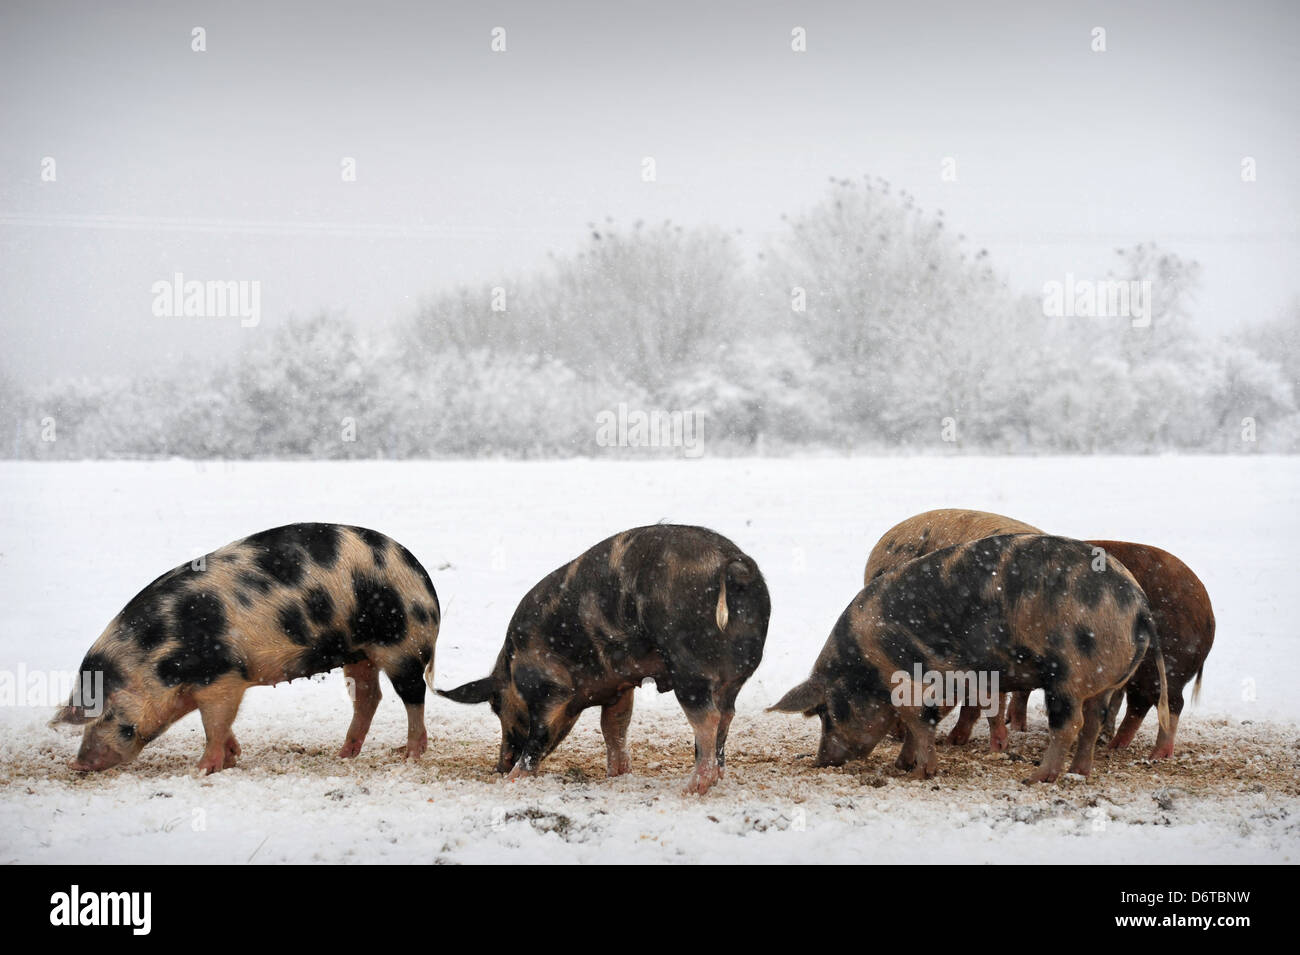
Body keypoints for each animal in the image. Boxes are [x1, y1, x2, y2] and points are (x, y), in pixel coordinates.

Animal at [53, 522, 441, 779]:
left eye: (111, 716)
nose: (79, 762)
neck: (157, 657)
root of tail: (422, 577)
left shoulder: (223, 677)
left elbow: (214, 723)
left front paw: (203, 770)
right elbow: (219, 725)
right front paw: (233, 755)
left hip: (401, 645)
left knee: (413, 695)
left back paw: (410, 755)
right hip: (358, 653)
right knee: (369, 697)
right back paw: (345, 754)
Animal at [441, 527, 764, 795]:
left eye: (496, 705)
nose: (500, 766)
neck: (511, 664)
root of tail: (734, 565)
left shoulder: (549, 688)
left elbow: (540, 736)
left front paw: (512, 781)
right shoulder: (619, 688)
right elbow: (614, 727)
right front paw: (617, 775)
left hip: (688, 668)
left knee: (708, 718)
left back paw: (692, 787)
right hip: (734, 676)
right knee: (726, 714)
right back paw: (714, 777)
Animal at [769, 535, 1170, 779]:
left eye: (827, 712)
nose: (821, 759)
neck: (866, 663)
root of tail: (1139, 606)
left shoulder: (910, 682)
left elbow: (918, 723)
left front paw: (920, 773)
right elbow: (926, 724)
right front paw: (903, 765)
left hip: (1068, 675)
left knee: (1069, 725)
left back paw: (1036, 778)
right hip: (1105, 681)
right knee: (1092, 723)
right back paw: (1079, 773)